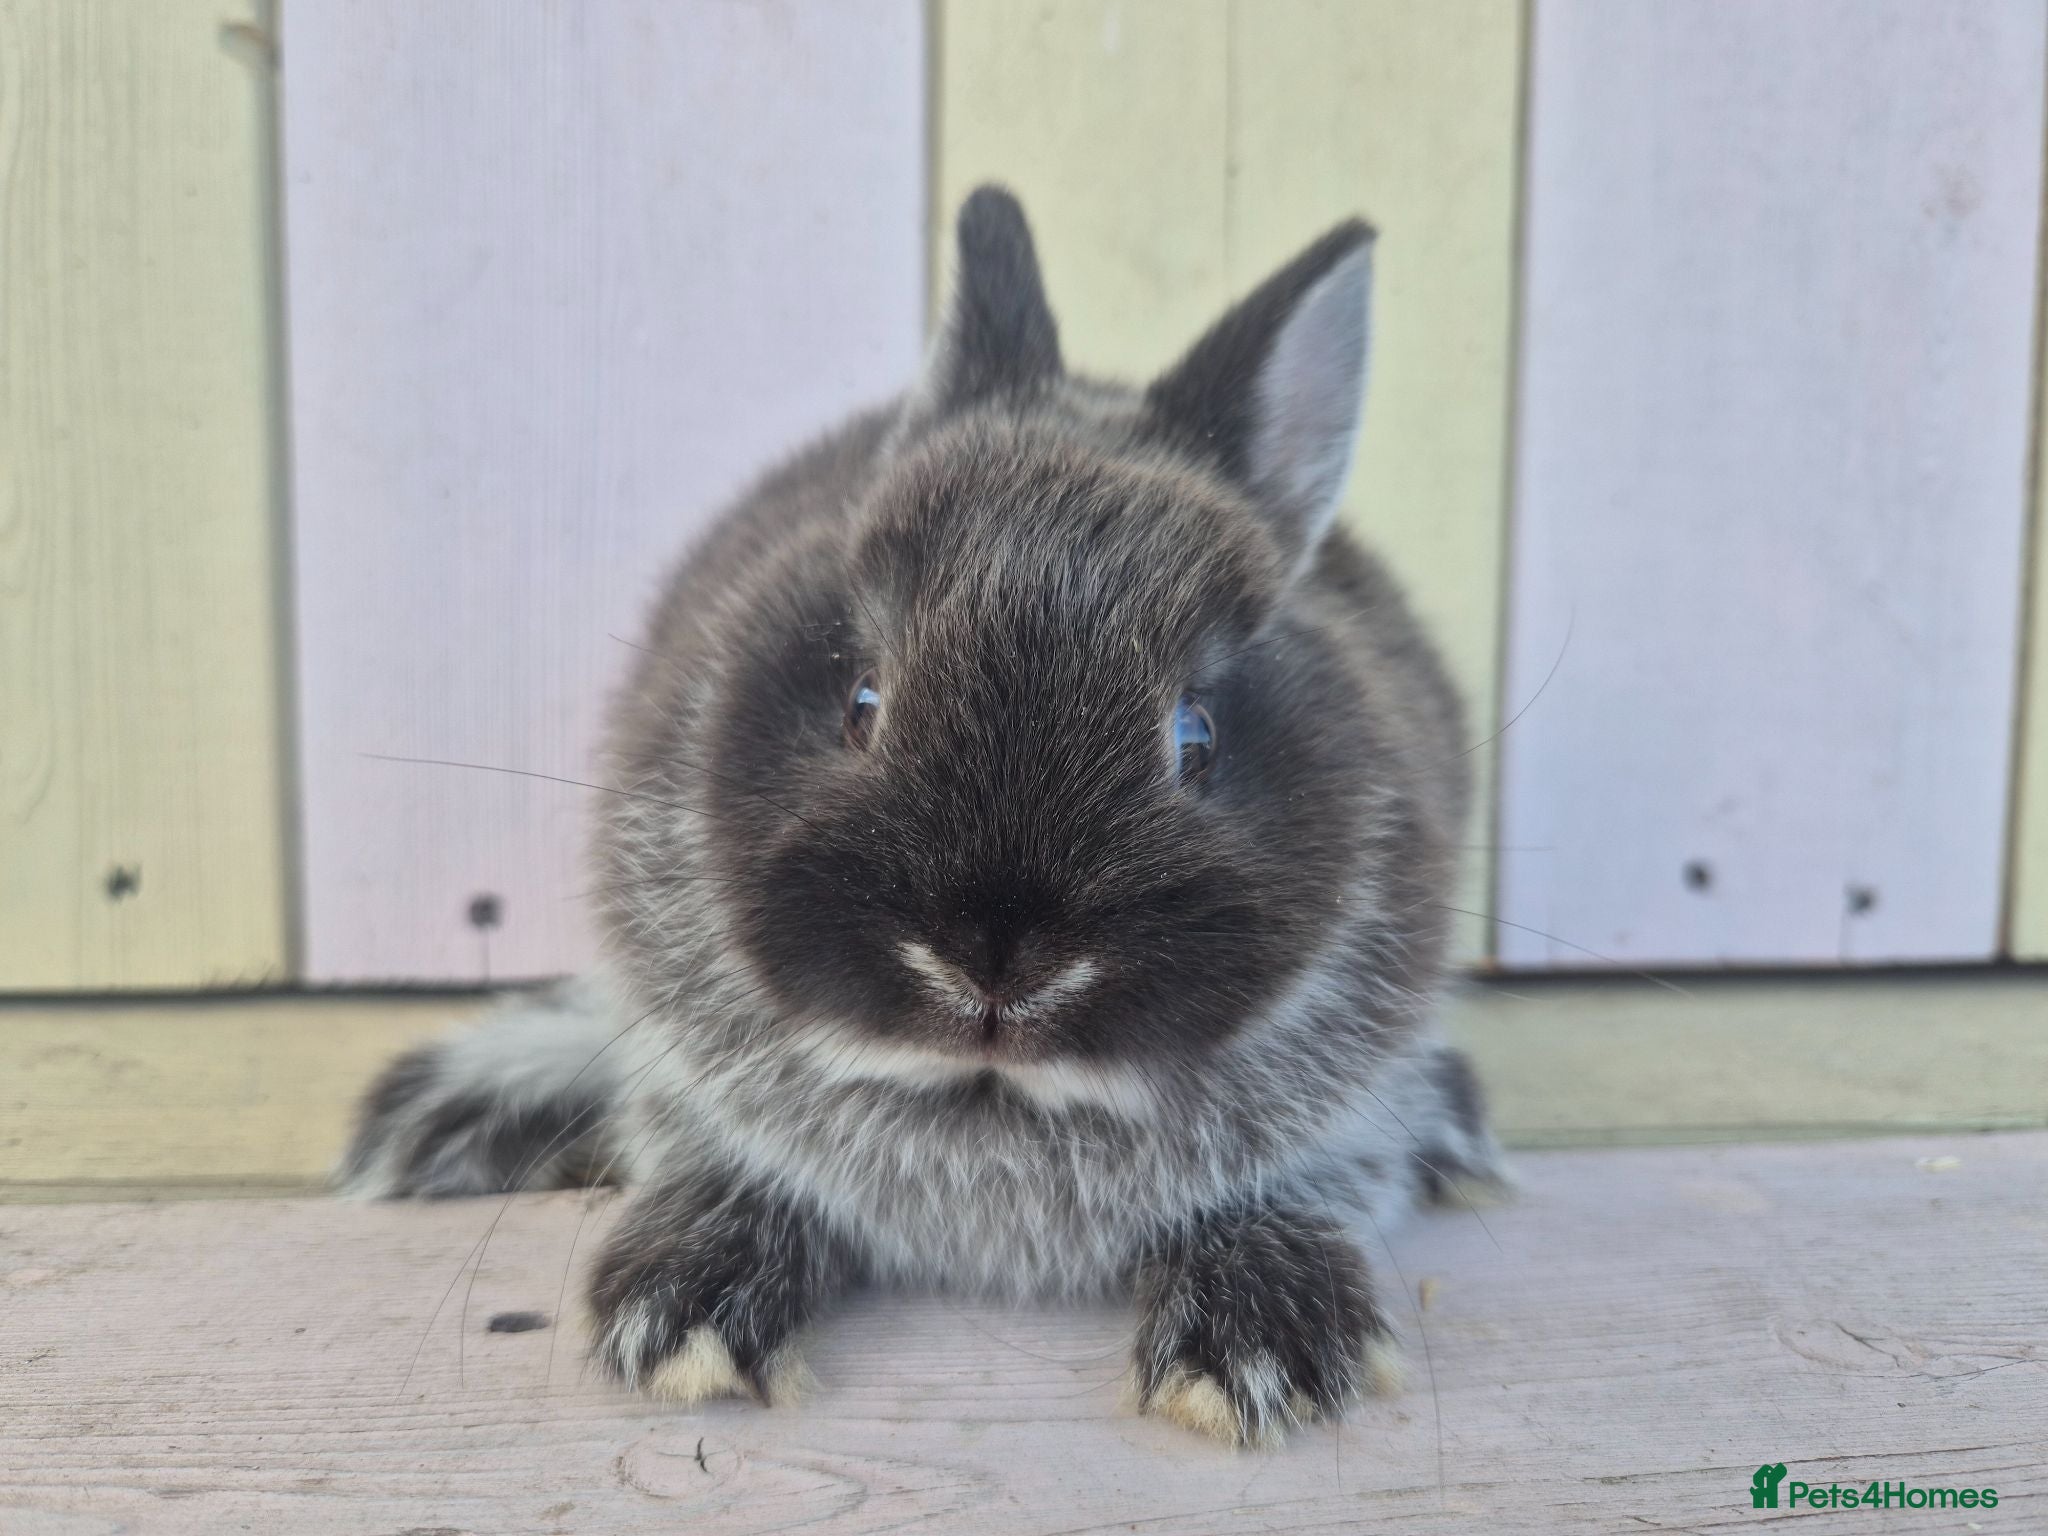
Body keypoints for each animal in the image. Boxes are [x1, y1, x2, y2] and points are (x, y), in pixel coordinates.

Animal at [338, 185, 1507, 1447]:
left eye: (1193, 739)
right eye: (862, 701)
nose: (992, 965)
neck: (989, 1105)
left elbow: (1300, 1187)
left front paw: (1256, 1350)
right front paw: (682, 1318)